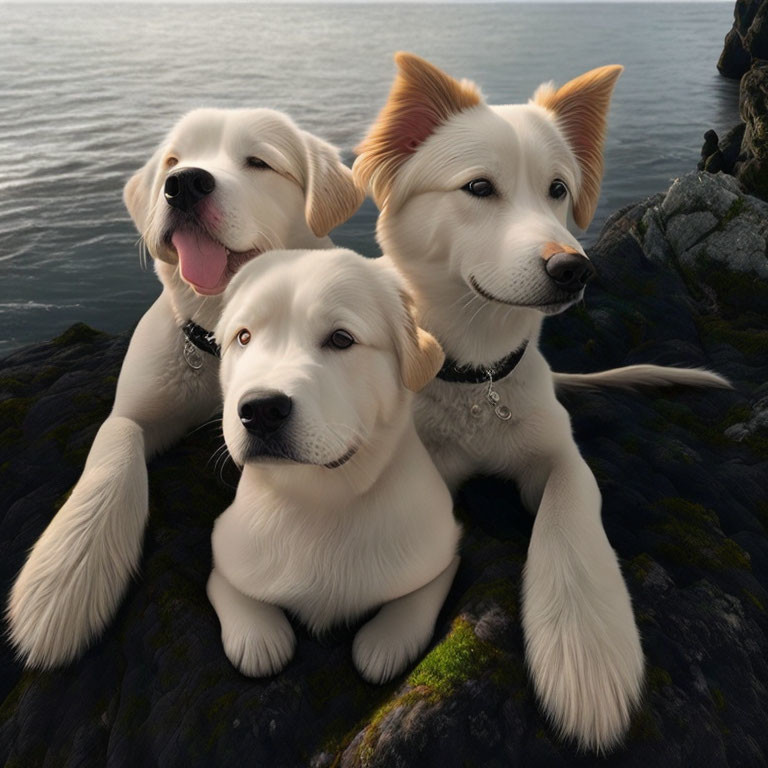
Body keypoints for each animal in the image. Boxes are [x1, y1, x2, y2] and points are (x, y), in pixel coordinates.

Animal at [8, 108, 364, 672]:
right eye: (173, 161)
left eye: (258, 162)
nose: (184, 184)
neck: (221, 335)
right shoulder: (130, 410)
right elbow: (113, 454)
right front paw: (64, 577)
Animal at [207, 249, 460, 680]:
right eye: (244, 336)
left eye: (341, 339)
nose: (260, 410)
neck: (319, 501)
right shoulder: (225, 549)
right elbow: (229, 588)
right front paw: (260, 637)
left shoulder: (443, 552)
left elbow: (417, 597)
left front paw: (385, 641)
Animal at [352, 52, 728, 752]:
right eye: (478, 188)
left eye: (557, 189)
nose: (575, 269)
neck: (480, 378)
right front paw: (397, 624)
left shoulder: (562, 458)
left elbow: (567, 518)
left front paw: (587, 647)